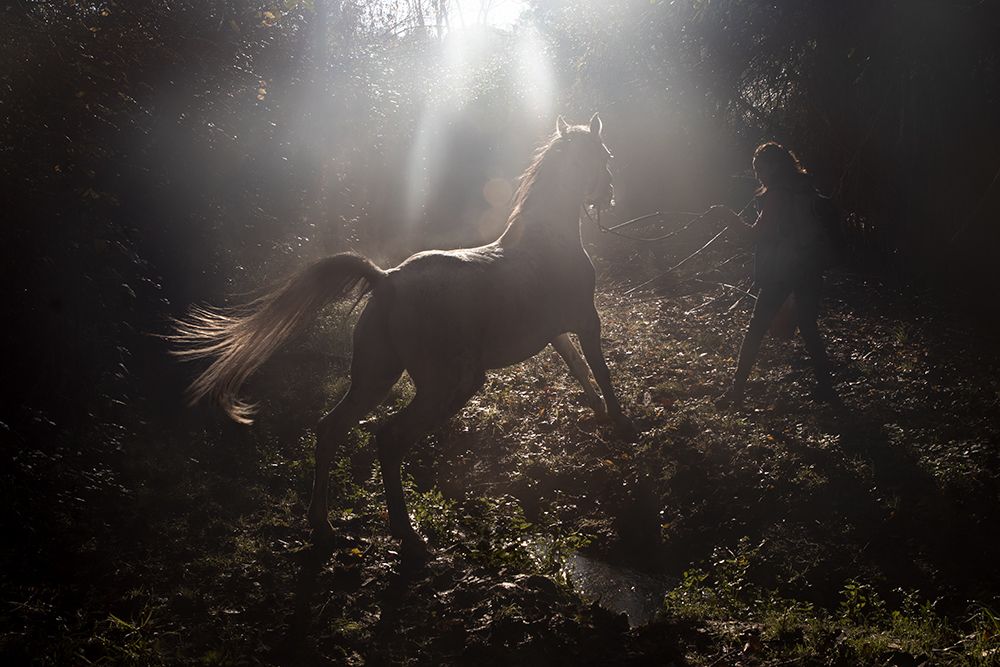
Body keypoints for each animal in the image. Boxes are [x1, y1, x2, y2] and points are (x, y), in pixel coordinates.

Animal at [170, 113, 636, 556]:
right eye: (605, 156)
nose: (611, 195)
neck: (547, 241)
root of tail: (387, 279)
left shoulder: (556, 332)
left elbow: (578, 368)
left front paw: (599, 411)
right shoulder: (586, 321)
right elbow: (599, 368)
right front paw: (623, 424)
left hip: (376, 377)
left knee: (331, 429)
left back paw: (324, 525)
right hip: (449, 385)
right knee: (390, 439)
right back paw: (408, 537)